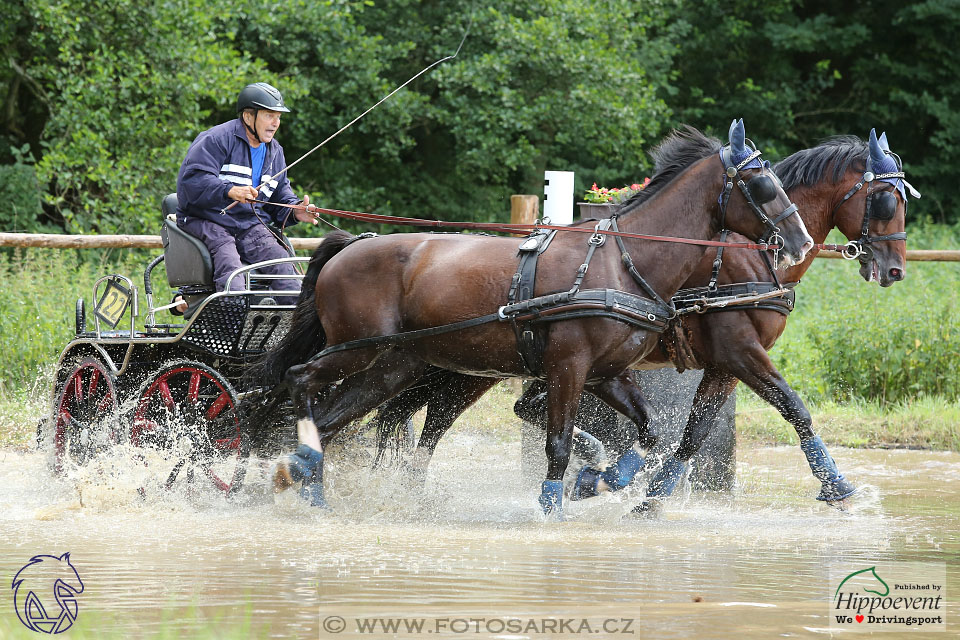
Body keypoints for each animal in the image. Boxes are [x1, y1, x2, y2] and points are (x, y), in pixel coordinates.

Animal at [260, 120, 808, 516]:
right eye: (761, 183)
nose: (800, 243)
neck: (623, 262)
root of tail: (349, 245)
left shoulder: (607, 372)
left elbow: (651, 430)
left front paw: (601, 481)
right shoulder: (570, 366)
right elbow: (559, 442)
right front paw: (554, 505)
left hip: (392, 368)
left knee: (334, 421)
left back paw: (309, 485)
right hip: (359, 352)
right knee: (301, 380)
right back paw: (300, 471)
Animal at [372, 129, 912, 510]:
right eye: (887, 201)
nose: (894, 270)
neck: (753, 257)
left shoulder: (723, 366)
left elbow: (694, 432)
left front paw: (653, 494)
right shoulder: (741, 352)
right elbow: (794, 407)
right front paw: (838, 487)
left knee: (453, 418)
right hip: (476, 365)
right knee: (441, 420)